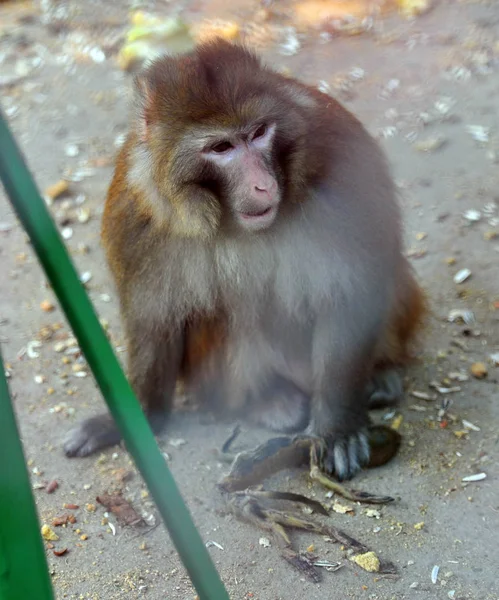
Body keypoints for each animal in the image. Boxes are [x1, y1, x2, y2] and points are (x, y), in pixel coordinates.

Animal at [63, 38, 426, 482]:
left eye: (258, 133)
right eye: (222, 148)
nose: (263, 184)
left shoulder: (344, 171)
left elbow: (348, 292)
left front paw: (337, 428)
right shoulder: (136, 215)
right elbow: (153, 319)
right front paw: (134, 418)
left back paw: (379, 379)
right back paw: (268, 402)